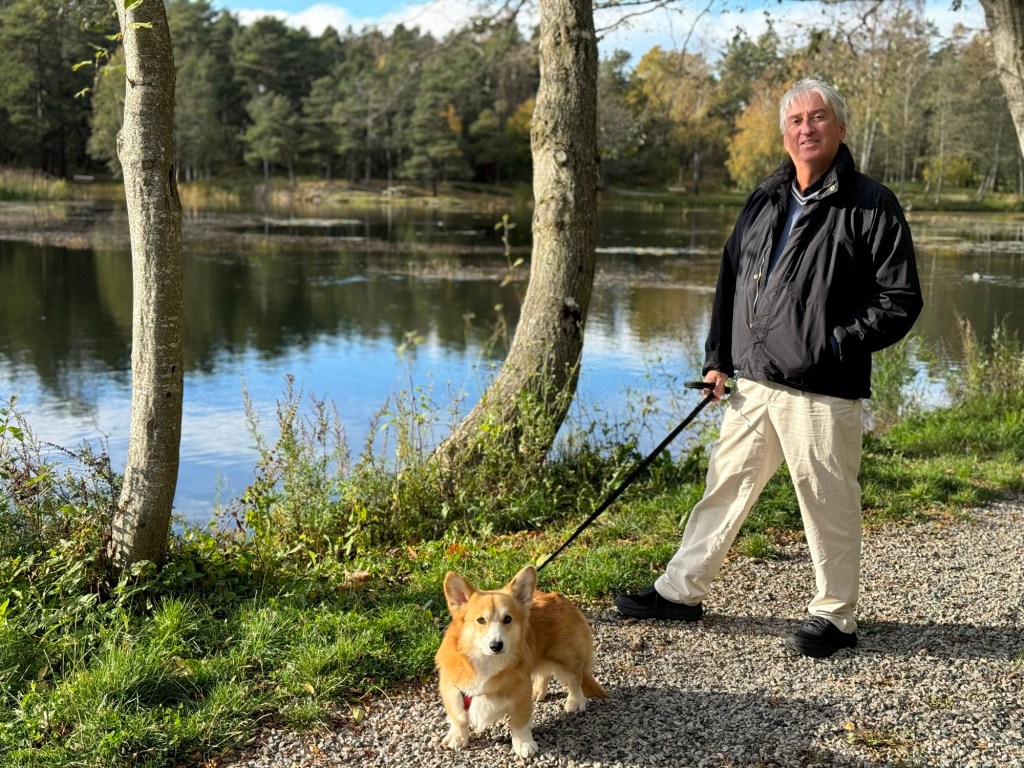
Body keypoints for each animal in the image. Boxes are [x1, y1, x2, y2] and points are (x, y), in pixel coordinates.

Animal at [435, 564, 608, 758]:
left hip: (565, 660)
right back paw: (538, 691)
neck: (487, 661)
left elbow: (519, 722)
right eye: (481, 620)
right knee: (545, 673)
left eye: (507, 619)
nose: (496, 645)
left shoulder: (520, 692)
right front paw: (457, 736)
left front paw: (523, 744)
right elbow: (458, 717)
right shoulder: (452, 688)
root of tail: (559, 597)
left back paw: (575, 701)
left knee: (575, 678)